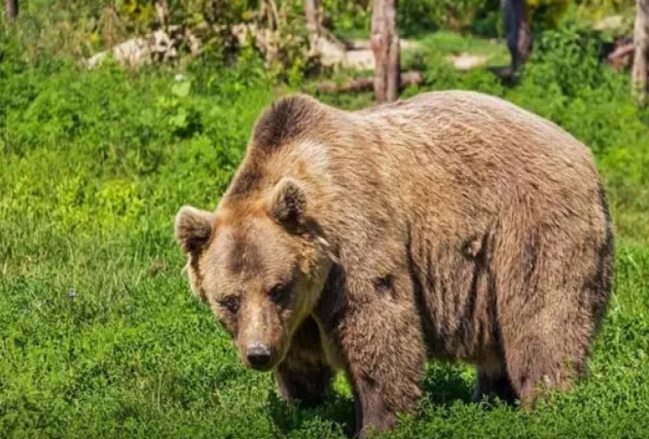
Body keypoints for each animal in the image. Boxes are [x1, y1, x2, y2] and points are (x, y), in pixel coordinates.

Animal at [175, 91, 616, 438]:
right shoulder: (298, 311)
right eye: (228, 300)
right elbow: (301, 358)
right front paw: (303, 404)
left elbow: (378, 325)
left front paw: (377, 422)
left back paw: (547, 402)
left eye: (277, 287)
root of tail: (583, 151)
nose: (258, 354)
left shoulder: (354, 241)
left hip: (531, 226)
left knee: (543, 316)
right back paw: (491, 397)